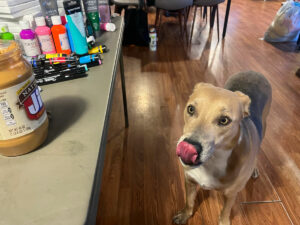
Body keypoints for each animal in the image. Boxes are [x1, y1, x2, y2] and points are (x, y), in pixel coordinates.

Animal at [173, 71, 272, 225]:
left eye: (224, 120)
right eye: (190, 109)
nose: (189, 147)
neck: (213, 161)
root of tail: (255, 72)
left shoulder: (231, 194)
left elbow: (225, 212)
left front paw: (224, 221)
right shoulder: (189, 180)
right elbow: (189, 202)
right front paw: (184, 215)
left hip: (264, 127)